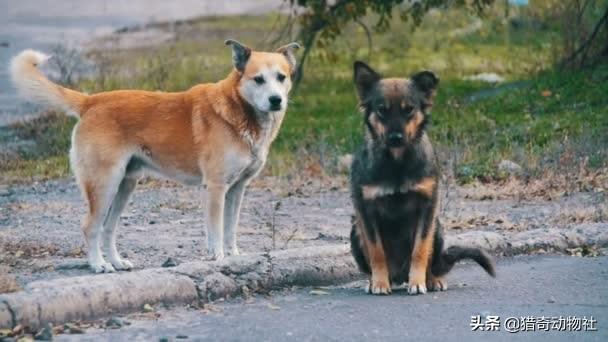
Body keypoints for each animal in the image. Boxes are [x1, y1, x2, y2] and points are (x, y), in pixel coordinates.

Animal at [10, 39, 300, 272]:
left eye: (281, 77)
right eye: (258, 79)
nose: (276, 100)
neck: (239, 111)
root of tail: (90, 102)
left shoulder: (237, 189)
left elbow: (230, 229)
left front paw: (234, 256)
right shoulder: (216, 188)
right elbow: (216, 231)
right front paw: (218, 258)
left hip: (125, 186)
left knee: (108, 227)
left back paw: (117, 262)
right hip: (104, 185)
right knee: (90, 226)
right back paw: (98, 265)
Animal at [350, 60, 496, 294]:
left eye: (409, 109)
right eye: (381, 110)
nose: (396, 138)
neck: (397, 162)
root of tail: (399, 275)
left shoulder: (427, 208)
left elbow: (420, 250)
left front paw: (418, 282)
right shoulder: (365, 210)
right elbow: (376, 252)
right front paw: (379, 283)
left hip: (437, 228)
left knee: (431, 261)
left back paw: (431, 279)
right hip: (355, 230)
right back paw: (375, 281)